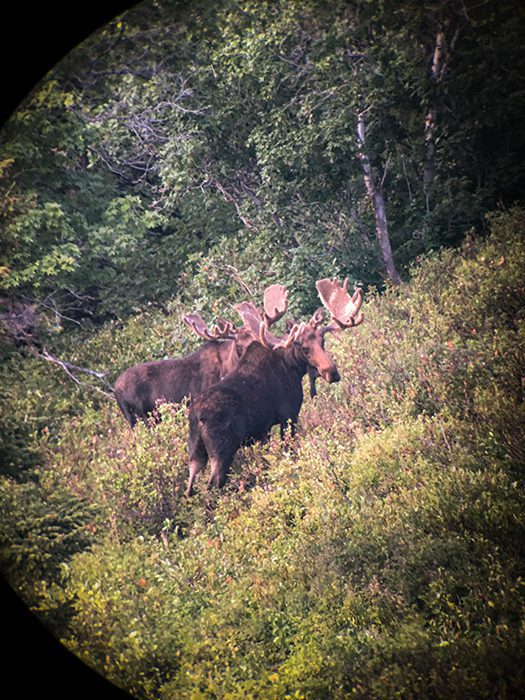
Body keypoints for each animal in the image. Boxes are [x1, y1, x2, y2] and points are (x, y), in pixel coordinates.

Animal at [185, 278, 364, 496]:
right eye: (304, 347)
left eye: (322, 341)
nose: (332, 372)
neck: (292, 367)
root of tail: (197, 416)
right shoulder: (289, 416)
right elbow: (290, 452)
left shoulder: (263, 431)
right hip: (222, 450)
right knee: (213, 484)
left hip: (195, 452)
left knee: (190, 487)